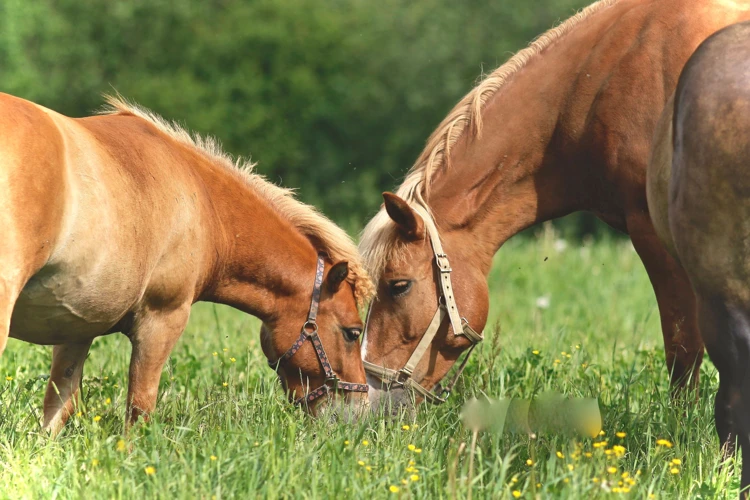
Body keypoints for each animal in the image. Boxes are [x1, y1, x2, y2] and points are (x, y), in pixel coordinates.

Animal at [0, 94, 374, 434]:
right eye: (353, 332)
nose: (359, 412)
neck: (204, 204)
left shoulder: (76, 329)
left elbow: (57, 408)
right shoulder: (162, 319)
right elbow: (139, 409)